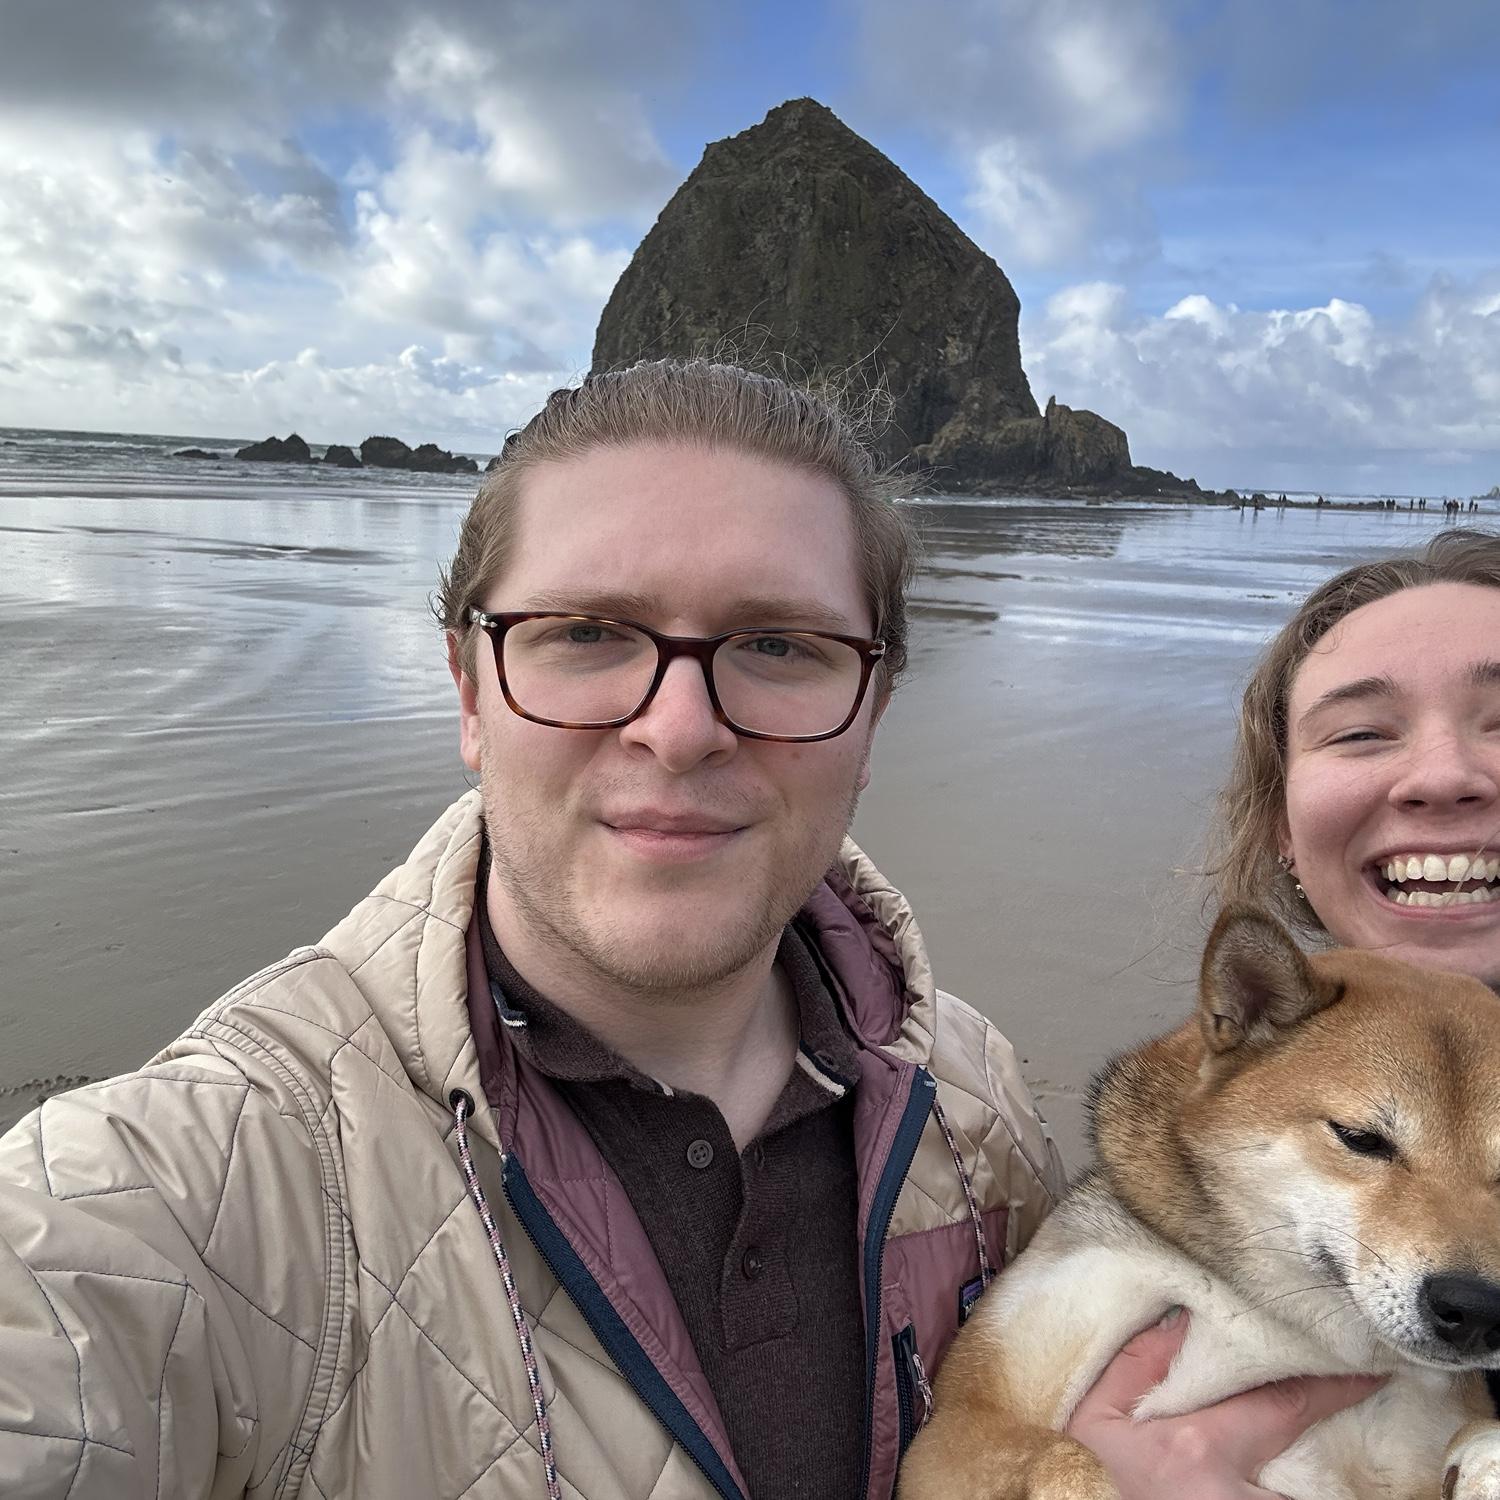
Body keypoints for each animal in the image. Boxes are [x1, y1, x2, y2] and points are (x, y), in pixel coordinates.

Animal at [899, 905, 1500, 1500]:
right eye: (1361, 1139)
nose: (1476, 1308)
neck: (1277, 1320)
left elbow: (1475, 1431)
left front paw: (1484, 1462)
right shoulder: (957, 1426)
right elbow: (1060, 1454)